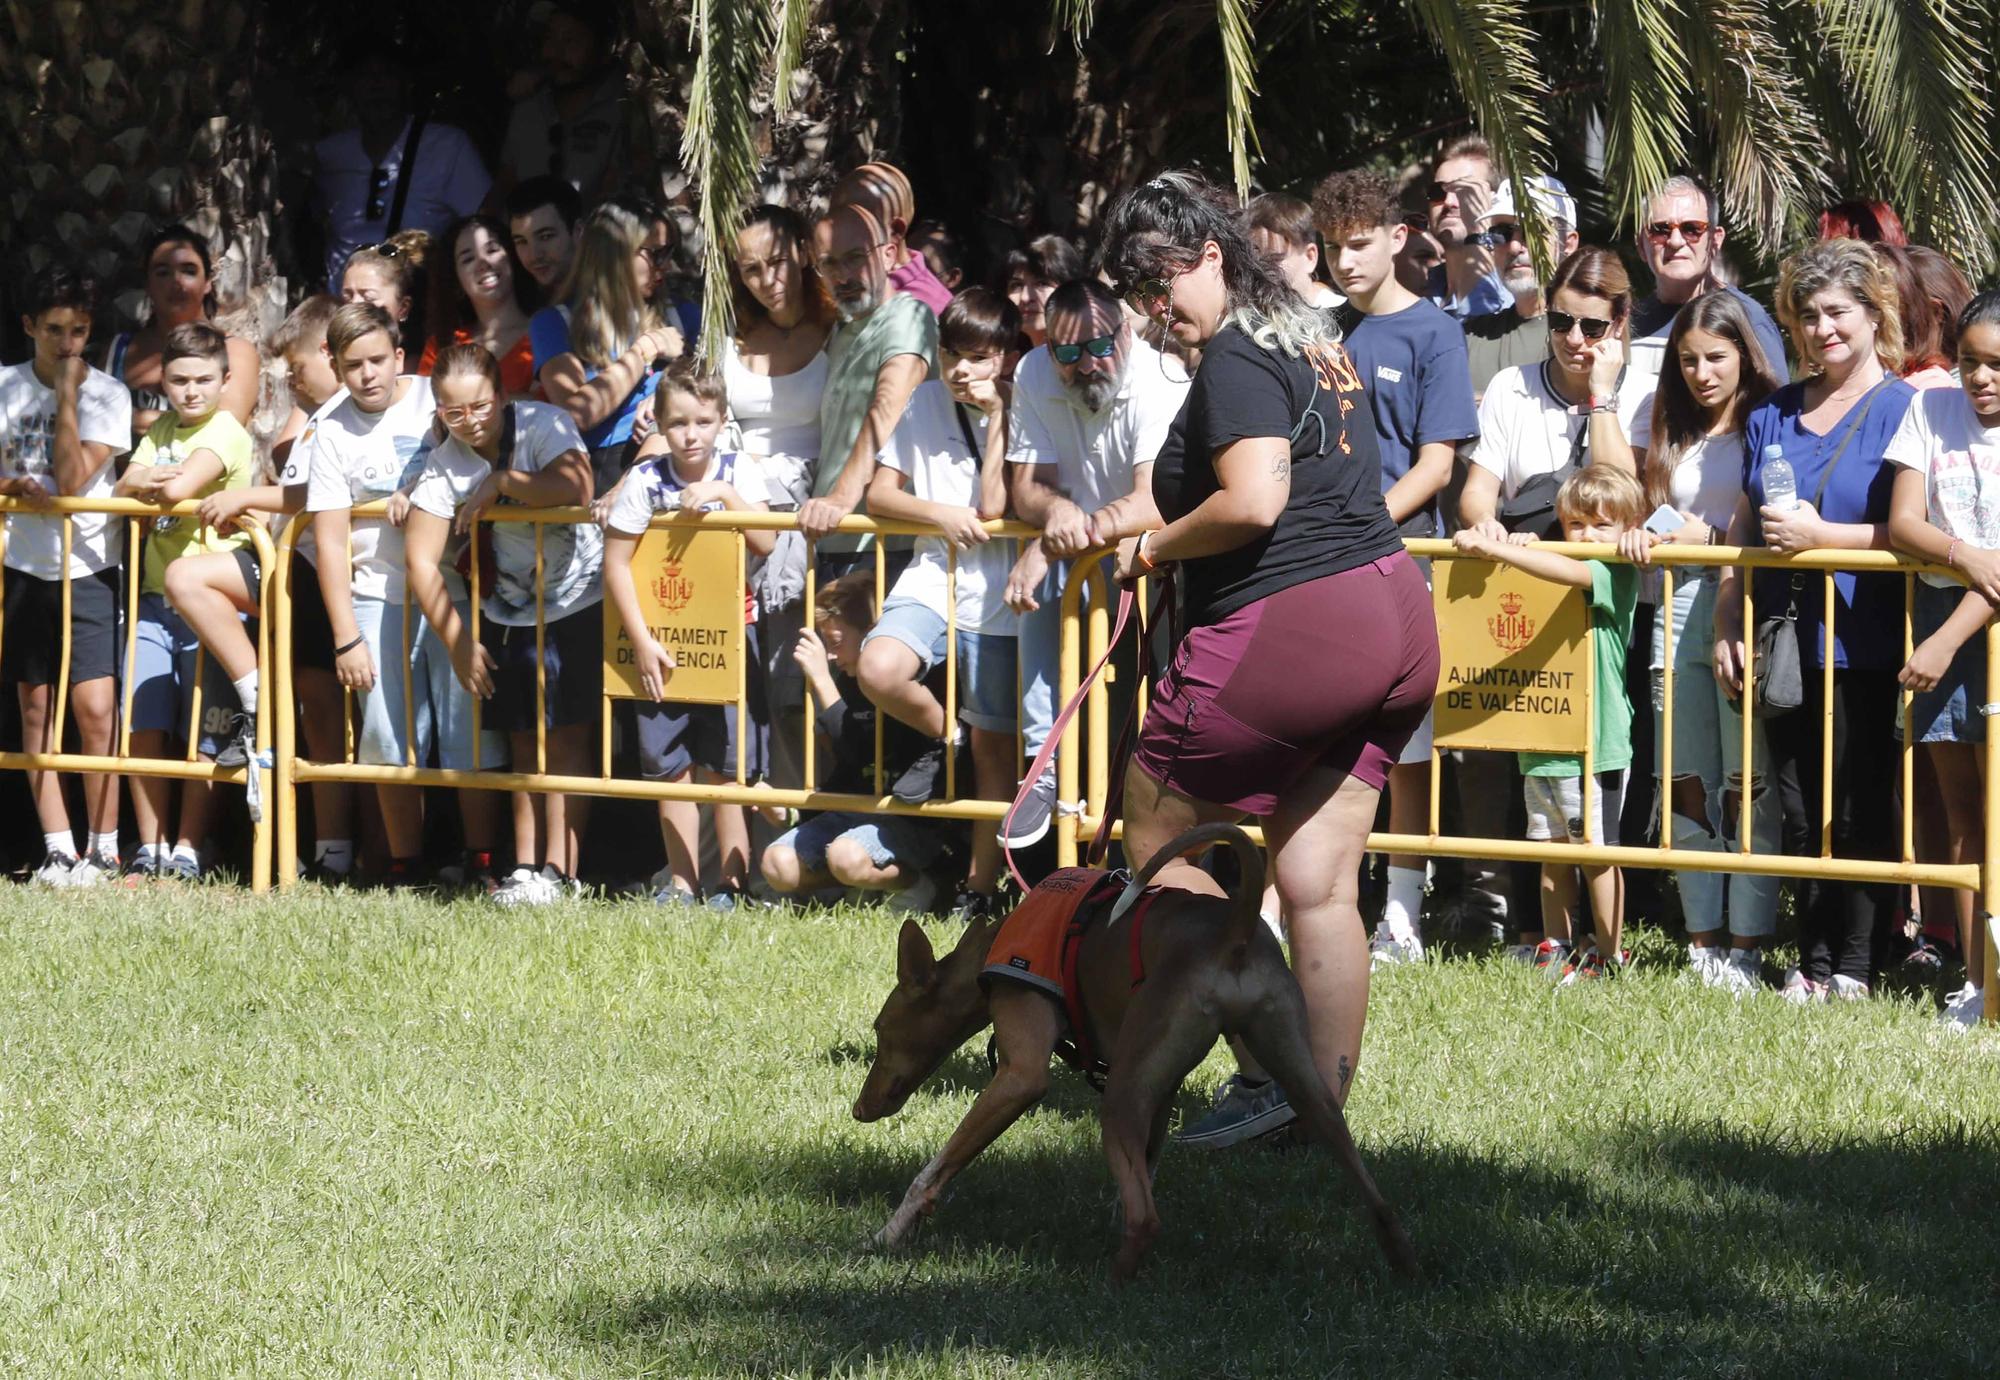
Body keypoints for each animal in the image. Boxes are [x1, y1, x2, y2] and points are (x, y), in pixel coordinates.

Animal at [852, 816, 1416, 1280]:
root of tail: (1233, 931)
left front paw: (887, 1234)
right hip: (1306, 1085)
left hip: (1120, 1095)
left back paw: (1109, 1282)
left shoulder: (1020, 1078)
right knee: (1377, 1198)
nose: (859, 1109)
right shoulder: (1161, 1089)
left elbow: (934, 1170)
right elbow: (1146, 1165)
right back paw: (1405, 1268)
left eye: (881, 1029)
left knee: (1147, 1220)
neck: (993, 948)